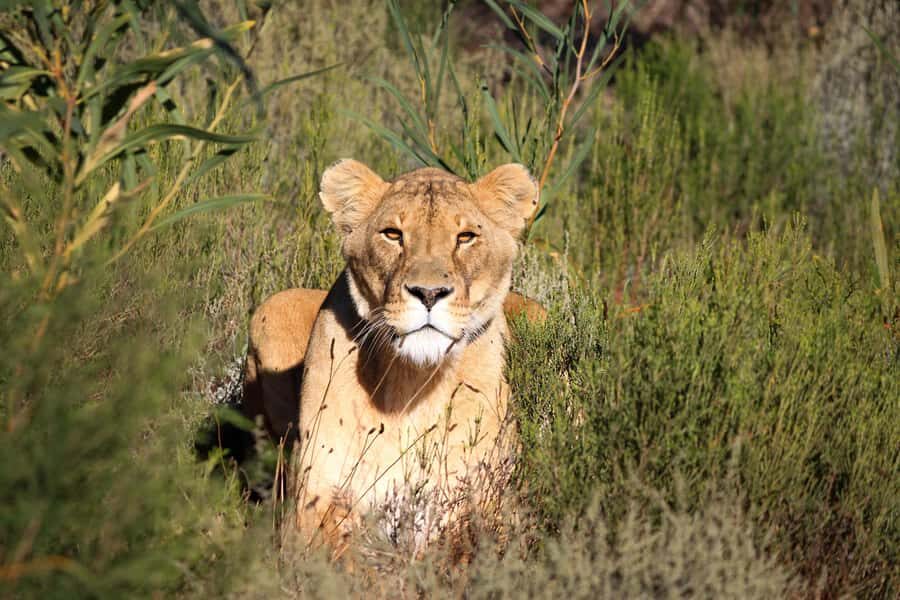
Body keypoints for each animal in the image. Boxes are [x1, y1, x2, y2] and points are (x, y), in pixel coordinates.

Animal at [242, 160, 543, 553]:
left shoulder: (495, 503)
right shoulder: (312, 499)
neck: (413, 381)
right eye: (392, 234)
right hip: (274, 306)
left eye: (465, 237)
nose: (428, 293)